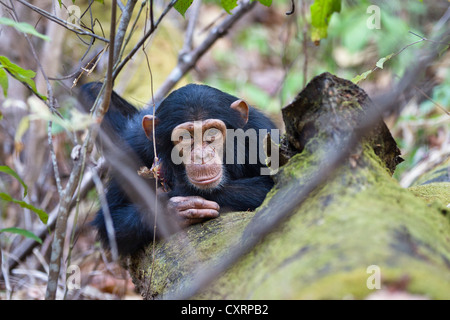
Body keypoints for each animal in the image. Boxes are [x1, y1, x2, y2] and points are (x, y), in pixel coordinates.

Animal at [82, 82, 276, 255]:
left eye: (212, 133)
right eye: (185, 137)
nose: (201, 155)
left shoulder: (261, 133)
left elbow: (270, 186)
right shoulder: (133, 148)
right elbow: (112, 221)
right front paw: (171, 210)